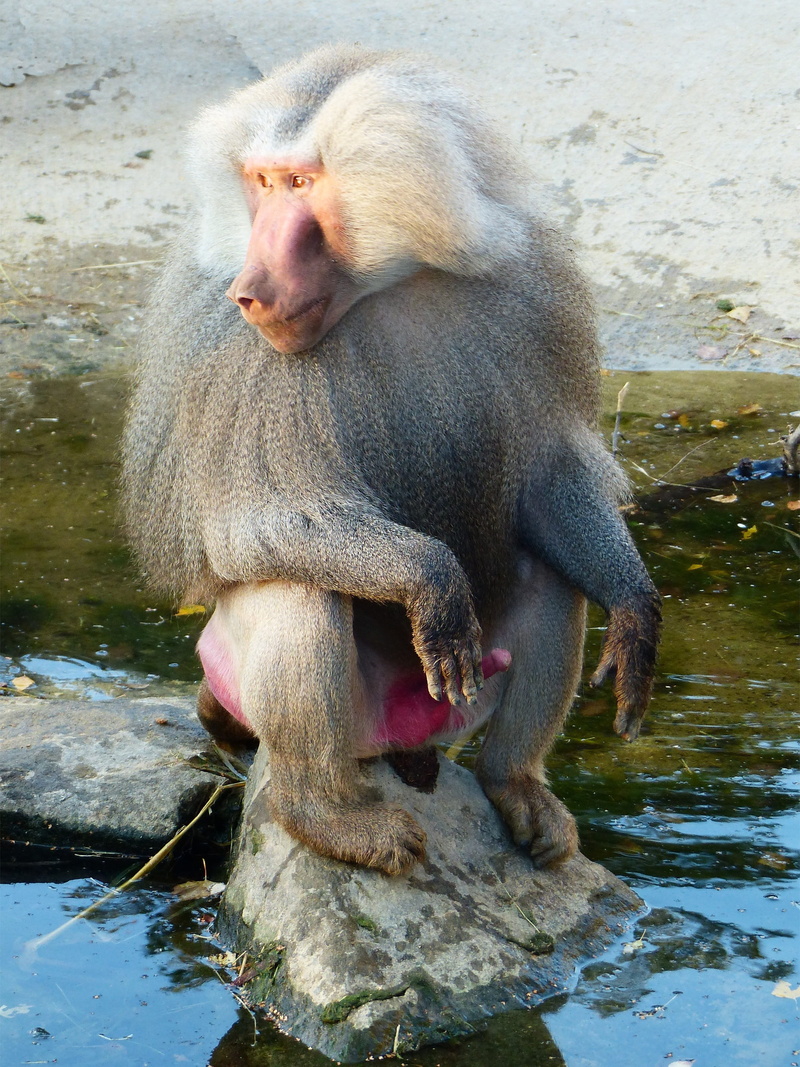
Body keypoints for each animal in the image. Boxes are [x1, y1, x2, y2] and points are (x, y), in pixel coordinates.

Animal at [122, 44, 661, 877]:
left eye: (301, 183)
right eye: (261, 183)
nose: (250, 290)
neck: (386, 286)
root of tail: (395, 738)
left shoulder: (528, 292)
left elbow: (547, 483)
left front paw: (635, 609)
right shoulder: (243, 363)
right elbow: (253, 533)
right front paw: (431, 581)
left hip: (456, 701)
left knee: (550, 574)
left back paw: (517, 789)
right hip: (299, 691)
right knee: (297, 588)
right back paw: (329, 817)